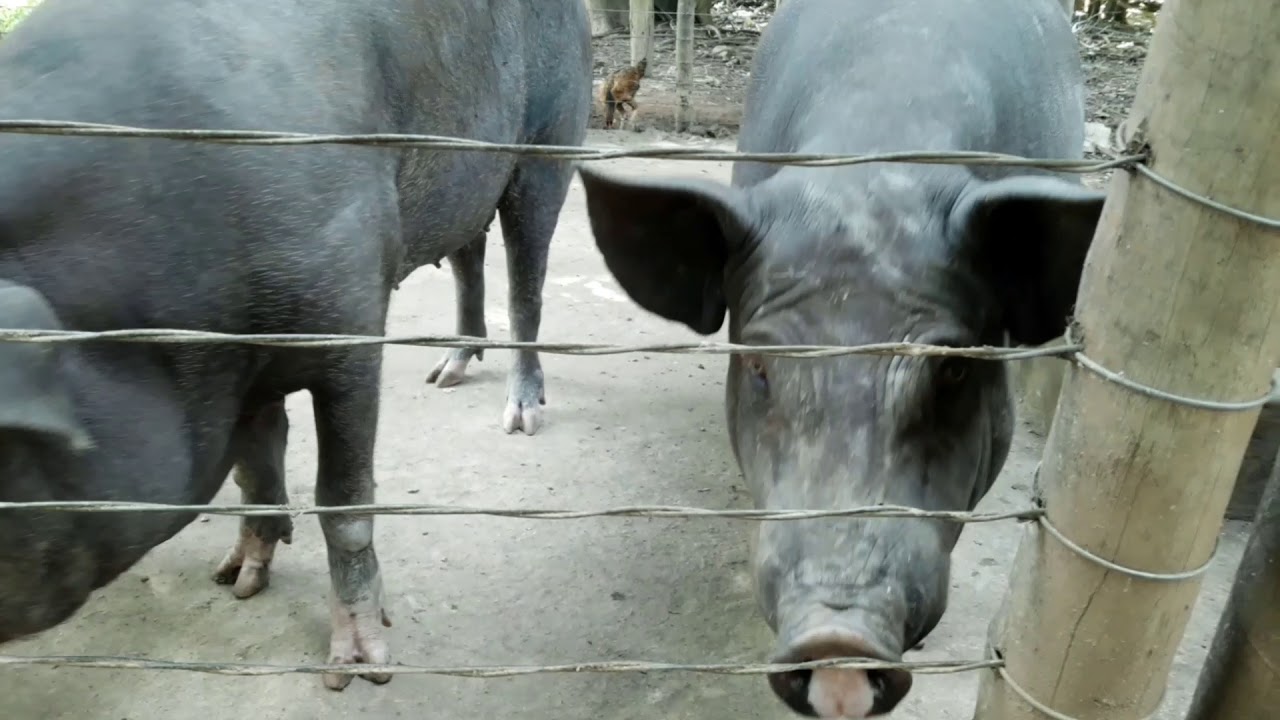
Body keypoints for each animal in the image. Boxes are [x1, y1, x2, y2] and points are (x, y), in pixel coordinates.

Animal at [0, 0, 591, 690]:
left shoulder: (349, 316)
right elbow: (253, 464)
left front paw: (357, 669)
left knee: (527, 275)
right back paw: (445, 373)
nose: (230, 578)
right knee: (469, 251)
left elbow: (342, 496)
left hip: (549, 141)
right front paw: (236, 581)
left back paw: (519, 418)